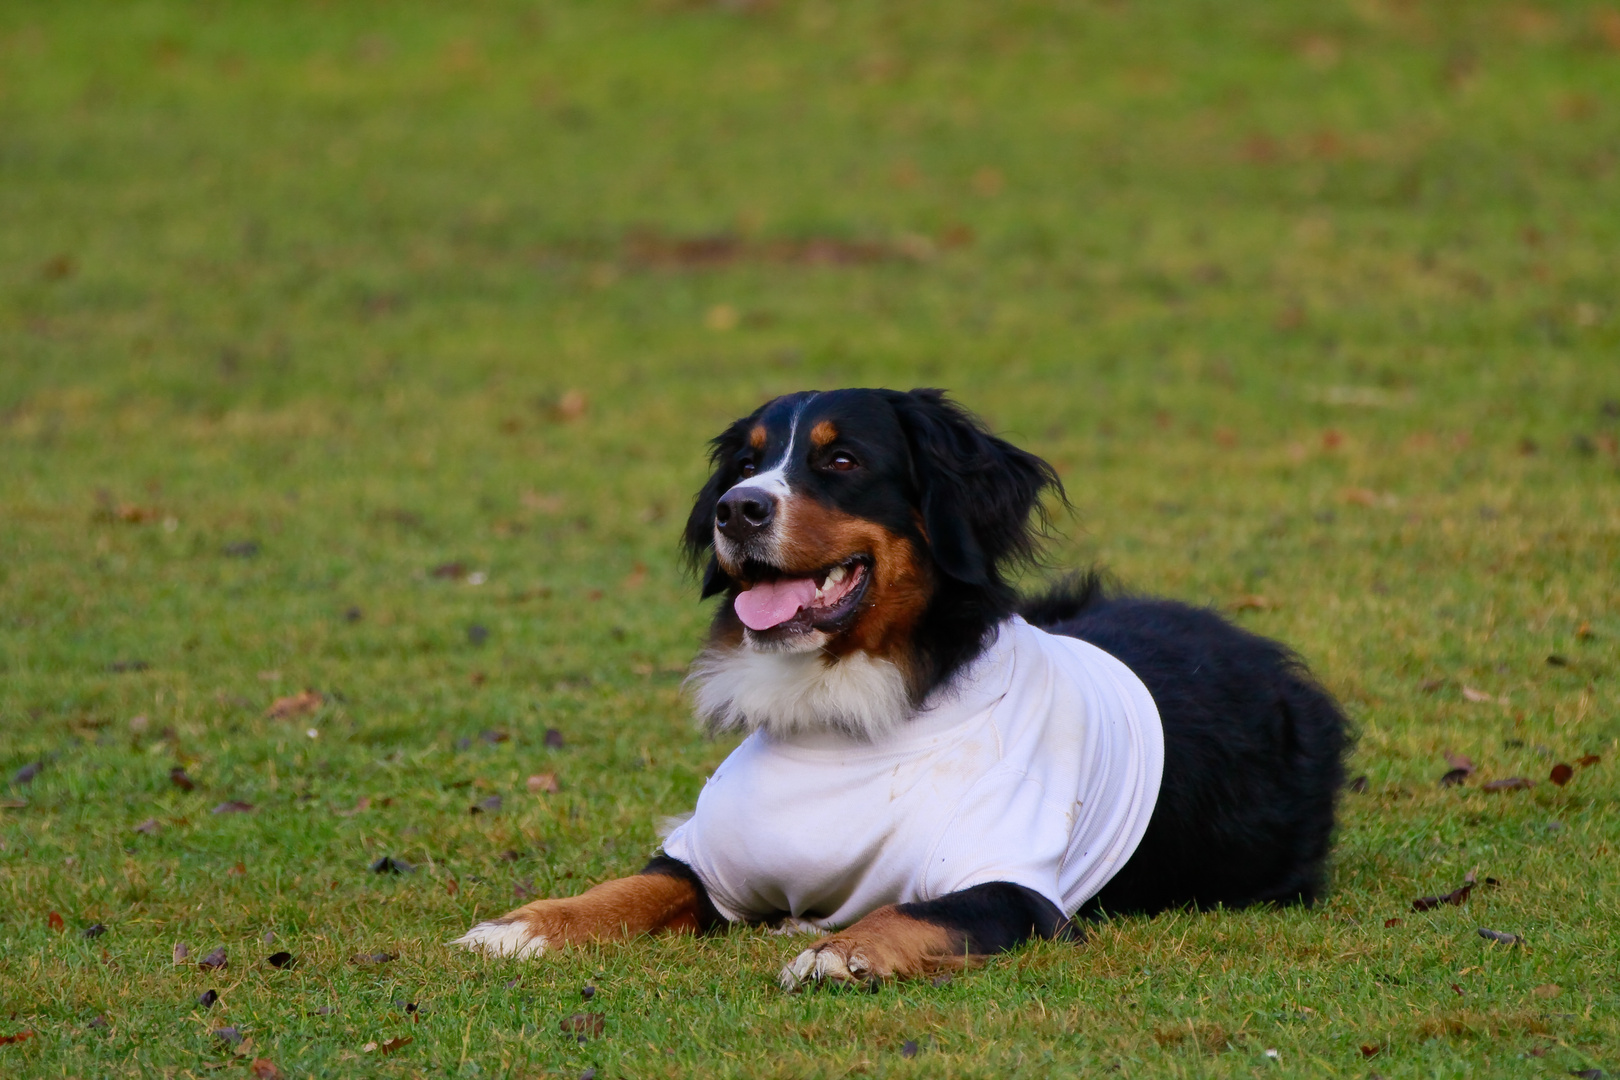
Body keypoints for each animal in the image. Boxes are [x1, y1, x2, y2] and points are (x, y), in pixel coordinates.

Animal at [450, 388, 1347, 990]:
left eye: (842, 460)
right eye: (745, 463)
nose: (737, 510)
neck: (836, 712)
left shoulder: (1014, 889)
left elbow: (915, 911)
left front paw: (838, 950)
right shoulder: (708, 861)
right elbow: (629, 886)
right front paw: (523, 927)